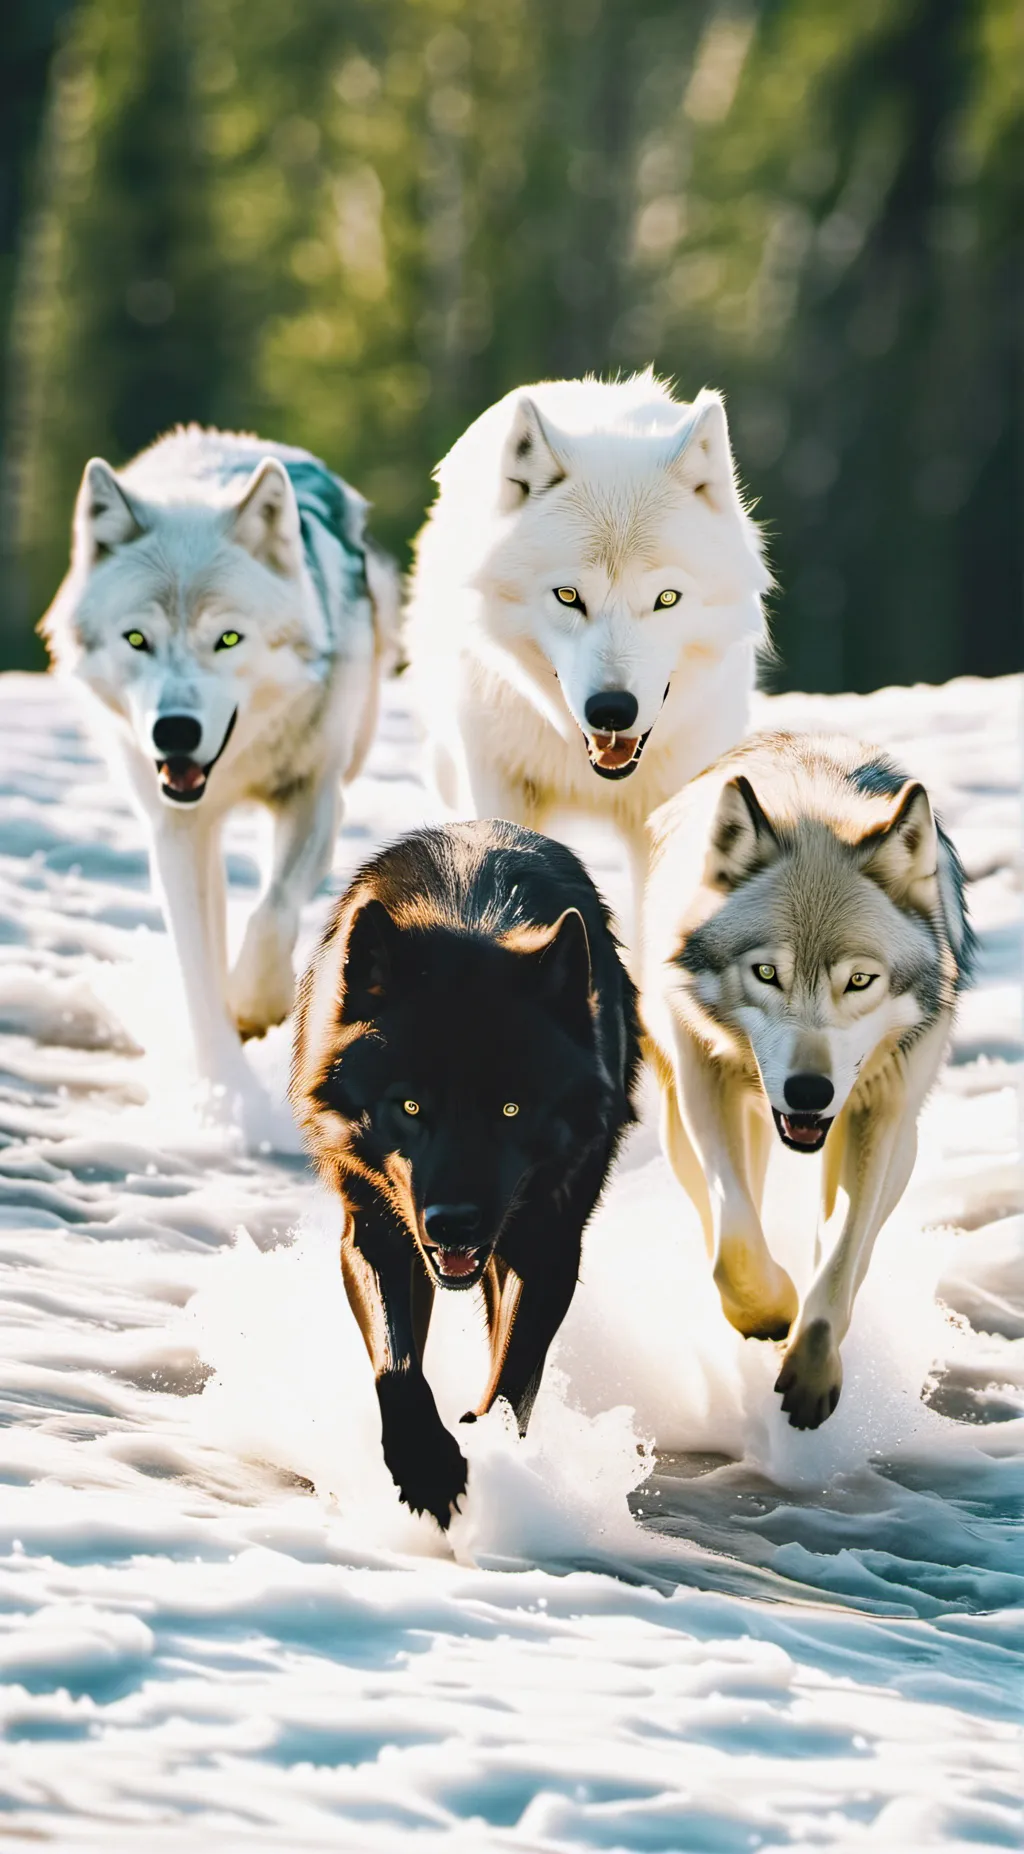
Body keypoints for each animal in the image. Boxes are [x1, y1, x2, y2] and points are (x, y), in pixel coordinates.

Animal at [42, 427, 398, 1139]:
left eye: (228, 639)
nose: (175, 731)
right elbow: (197, 969)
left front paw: (257, 1004)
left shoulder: (315, 794)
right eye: (137, 639)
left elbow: (272, 912)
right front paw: (220, 1094)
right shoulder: (175, 828)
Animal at [291, 820, 642, 1527]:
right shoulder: (375, 1231)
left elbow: (512, 1382)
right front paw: (427, 1466)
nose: (452, 1222)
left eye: (511, 1108)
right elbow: (398, 1367)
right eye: (409, 1106)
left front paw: (494, 1452)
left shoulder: (550, 1246)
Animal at [641, 733, 973, 1429]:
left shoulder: (881, 1117)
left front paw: (813, 1369)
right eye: (767, 972)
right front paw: (768, 1312)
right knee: (722, 1215)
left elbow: (844, 1261)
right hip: (681, 1117)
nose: (808, 1094)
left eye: (860, 980)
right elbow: (736, 1248)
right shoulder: (704, 1088)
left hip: (898, 1137)